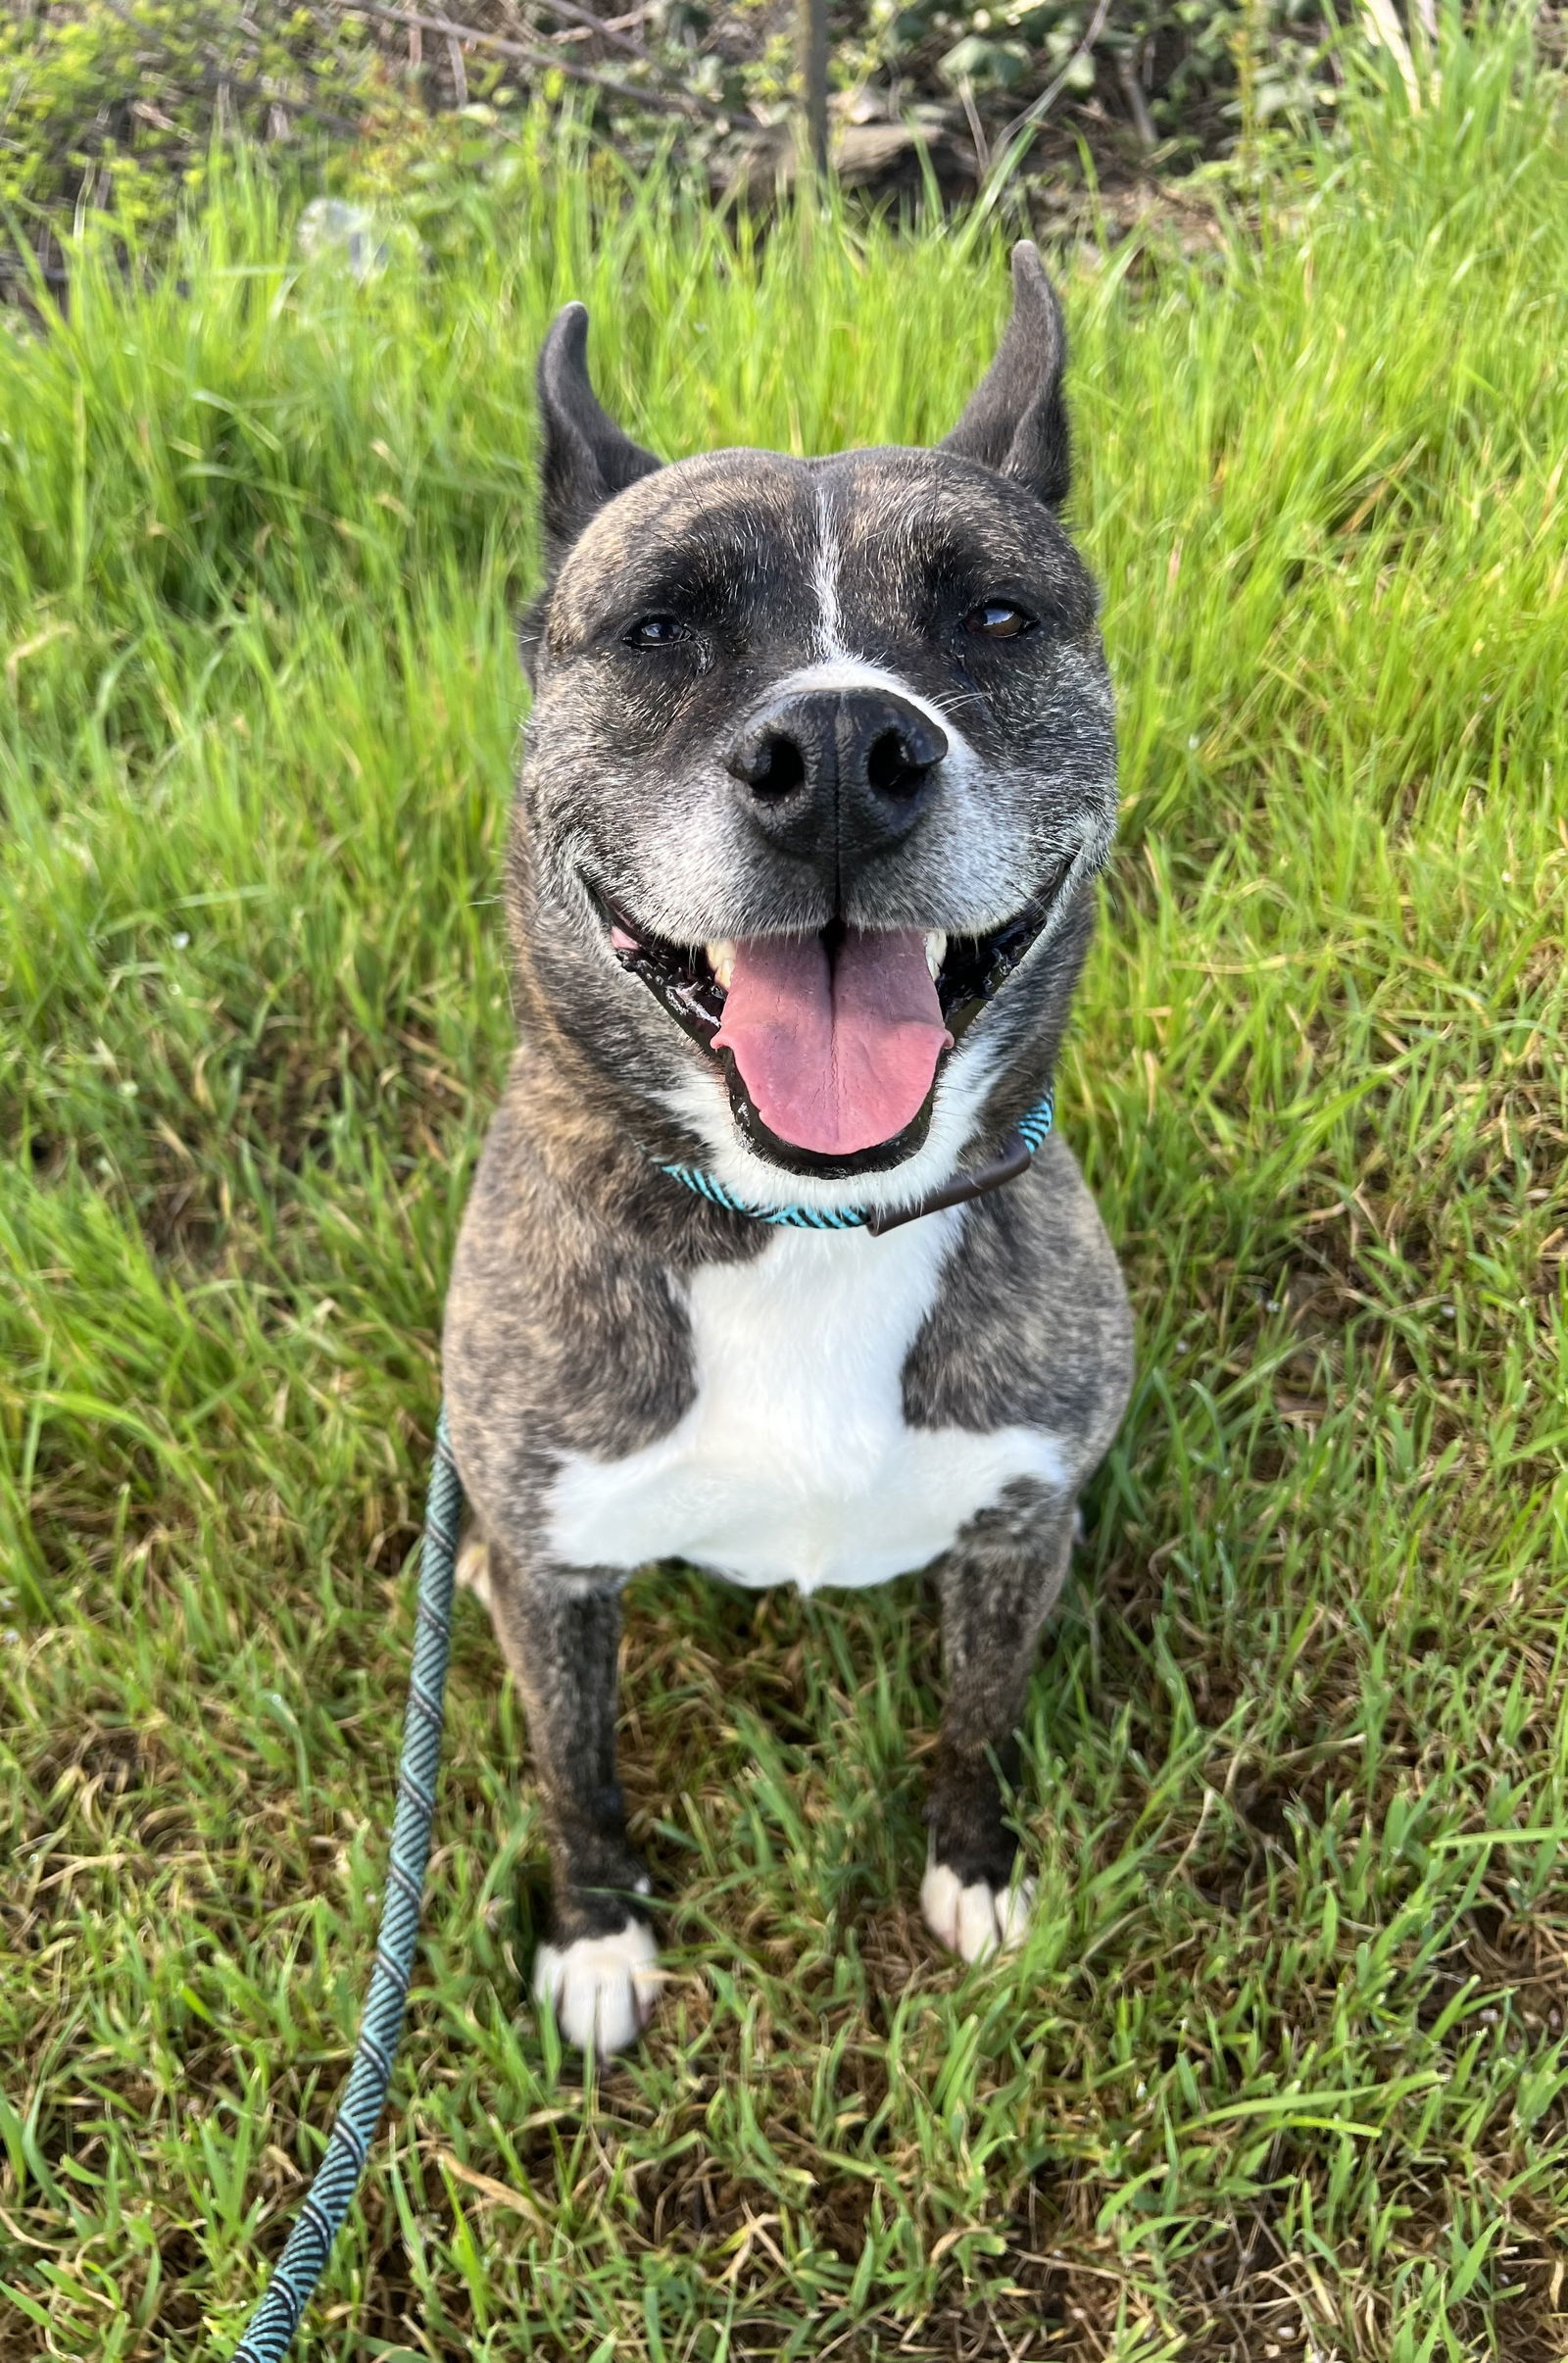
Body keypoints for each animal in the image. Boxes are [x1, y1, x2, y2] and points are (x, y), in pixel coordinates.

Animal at [446, 244, 1133, 2050]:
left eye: (995, 618)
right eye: (659, 626)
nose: (836, 757)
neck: (806, 1228)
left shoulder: (1020, 1526)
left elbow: (977, 1719)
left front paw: (975, 1863)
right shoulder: (563, 1569)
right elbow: (577, 1766)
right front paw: (596, 1932)